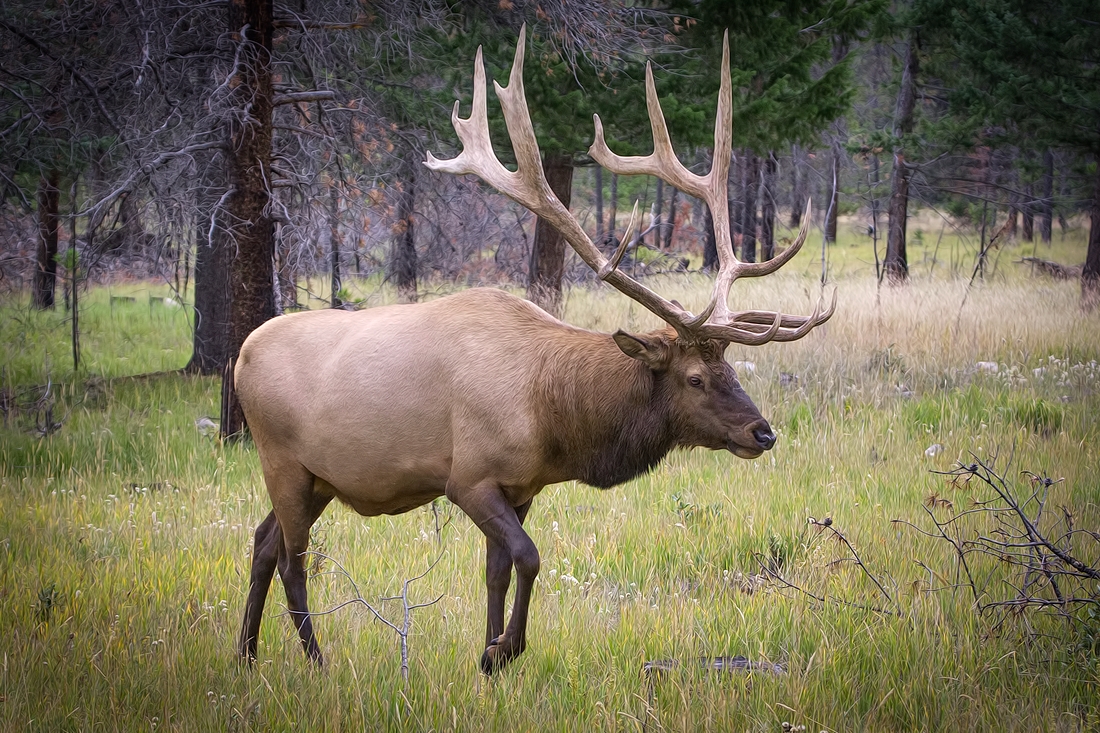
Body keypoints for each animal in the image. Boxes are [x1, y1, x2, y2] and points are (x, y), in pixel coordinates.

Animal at [236, 31, 827, 677]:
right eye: (695, 377)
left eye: (730, 367)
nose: (762, 432)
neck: (553, 415)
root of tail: (241, 354)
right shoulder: (468, 478)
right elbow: (530, 557)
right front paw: (505, 648)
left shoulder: (522, 488)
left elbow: (497, 570)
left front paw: (488, 653)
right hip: (282, 461)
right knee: (291, 558)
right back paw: (315, 659)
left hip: (318, 478)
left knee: (261, 544)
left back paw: (246, 652)